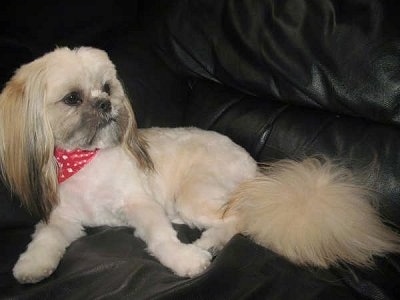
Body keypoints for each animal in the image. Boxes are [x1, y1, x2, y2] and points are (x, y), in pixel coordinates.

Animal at [0, 47, 400, 284]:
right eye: (72, 98)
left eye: (107, 88)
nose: (104, 104)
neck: (86, 159)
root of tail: (258, 173)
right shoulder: (63, 219)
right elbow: (45, 241)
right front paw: (30, 267)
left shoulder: (141, 205)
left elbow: (161, 238)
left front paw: (185, 260)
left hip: (194, 195)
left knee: (240, 219)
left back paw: (210, 242)